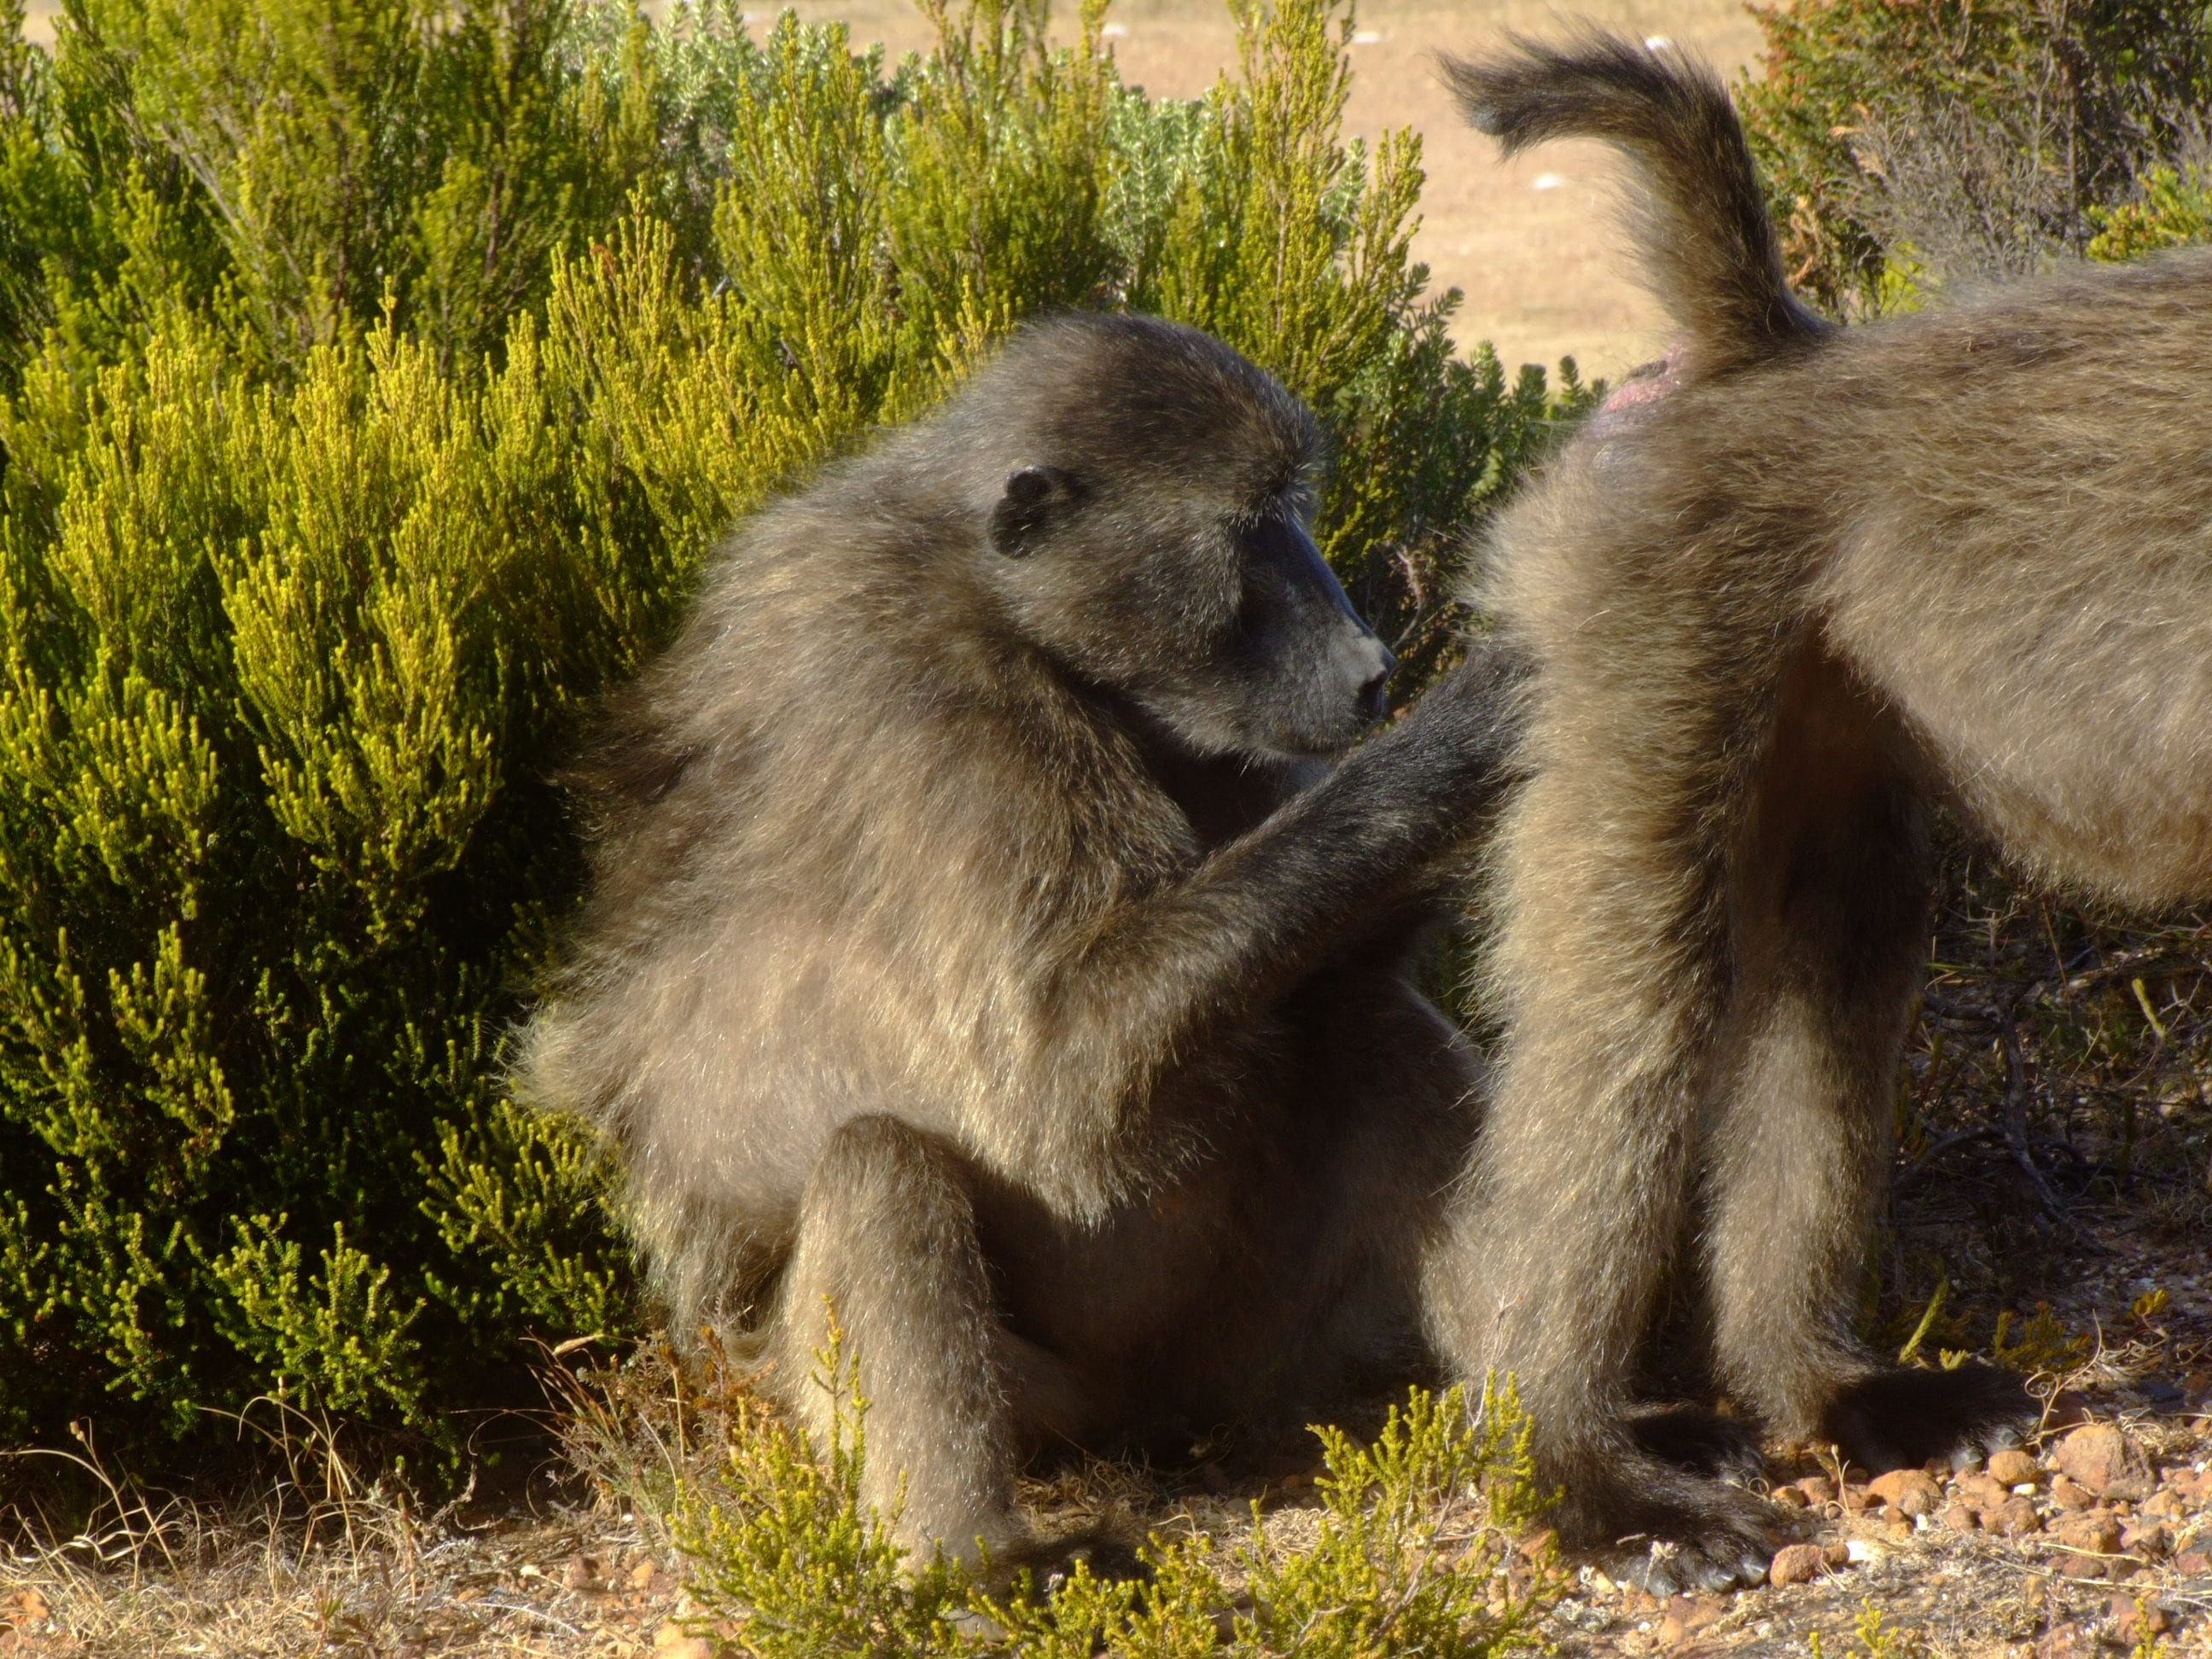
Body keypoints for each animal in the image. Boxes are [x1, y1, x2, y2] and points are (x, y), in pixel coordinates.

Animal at [518, 312, 1525, 1583]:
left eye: (1290, 509)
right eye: (1252, 526)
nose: (1372, 667)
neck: (1002, 599)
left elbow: (1343, 968)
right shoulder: (942, 710)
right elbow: (1062, 1080)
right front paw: (1470, 726)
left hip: (1247, 1342)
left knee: (1363, 1020)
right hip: (927, 1393)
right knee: (879, 1166)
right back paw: (969, 1565)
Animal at [1422, 31, 2212, 1591]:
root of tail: (1777, 354)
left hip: (1813, 693)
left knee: (1841, 940)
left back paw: (1823, 1389)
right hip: (1657, 627)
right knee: (1636, 995)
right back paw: (1583, 1473)